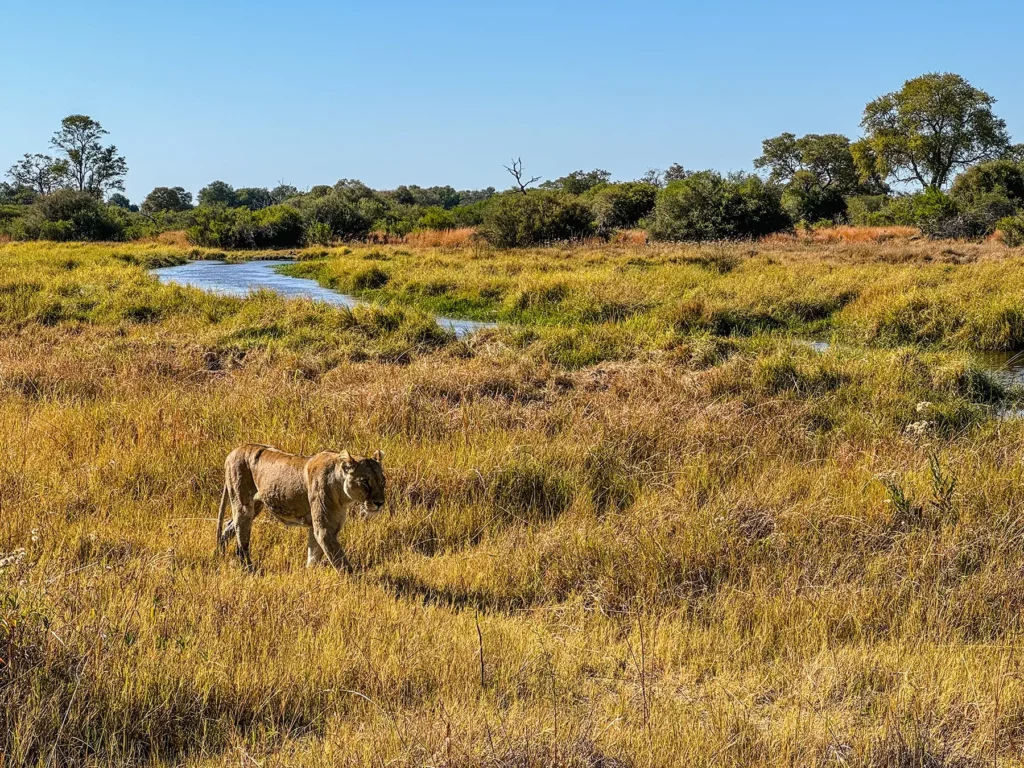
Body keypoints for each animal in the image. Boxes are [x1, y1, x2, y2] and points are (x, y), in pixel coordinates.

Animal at [215, 443, 386, 571]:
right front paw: (356, 585)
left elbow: (313, 557)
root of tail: (235, 449)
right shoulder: (324, 529)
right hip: (243, 505)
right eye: (365, 481)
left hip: (255, 506)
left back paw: (220, 554)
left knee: (229, 526)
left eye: (382, 481)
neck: (343, 495)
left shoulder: (320, 527)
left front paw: (309, 576)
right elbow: (342, 564)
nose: (380, 503)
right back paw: (249, 570)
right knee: (241, 541)